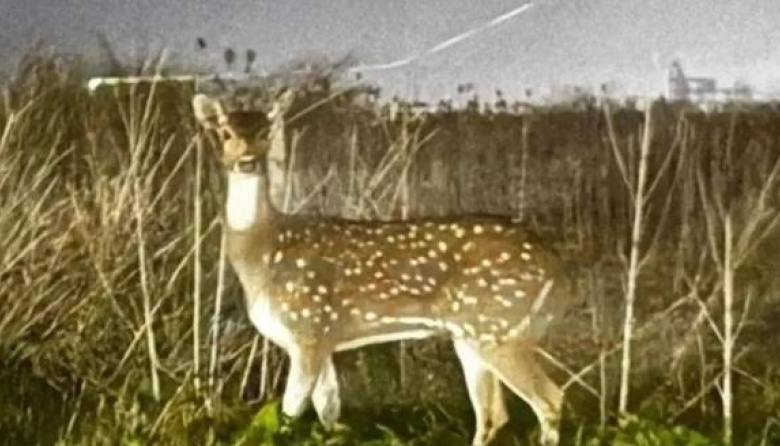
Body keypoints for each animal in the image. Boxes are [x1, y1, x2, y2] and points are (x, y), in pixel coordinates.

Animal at [192, 90, 572, 446]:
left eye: (265, 132)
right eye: (224, 132)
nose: (246, 161)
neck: (264, 253)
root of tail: (557, 267)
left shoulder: (309, 327)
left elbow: (289, 414)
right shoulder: (323, 338)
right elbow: (329, 412)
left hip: (499, 326)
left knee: (549, 400)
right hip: (472, 334)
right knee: (494, 413)